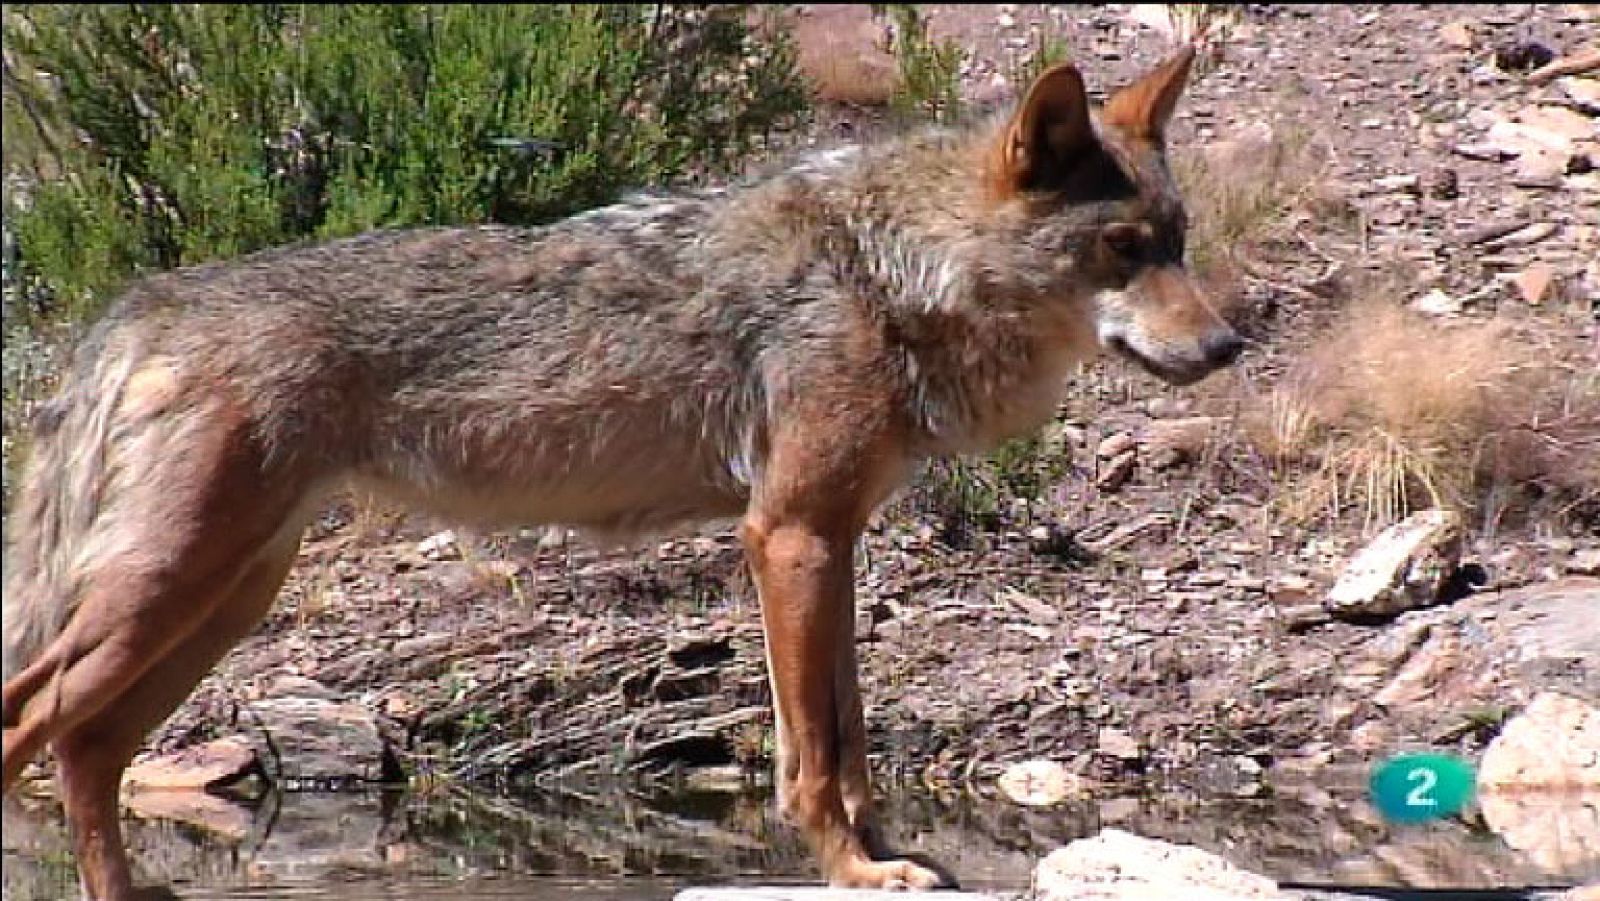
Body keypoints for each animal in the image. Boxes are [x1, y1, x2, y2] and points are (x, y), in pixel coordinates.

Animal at [1, 46, 1239, 897]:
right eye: (1121, 248)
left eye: (1177, 240)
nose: (1229, 346)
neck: (885, 270)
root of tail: (139, 303)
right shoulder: (785, 535)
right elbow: (812, 752)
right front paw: (851, 868)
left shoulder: (829, 539)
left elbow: (853, 737)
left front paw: (888, 858)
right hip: (166, 592)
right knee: (36, 727)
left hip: (218, 603)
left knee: (85, 748)